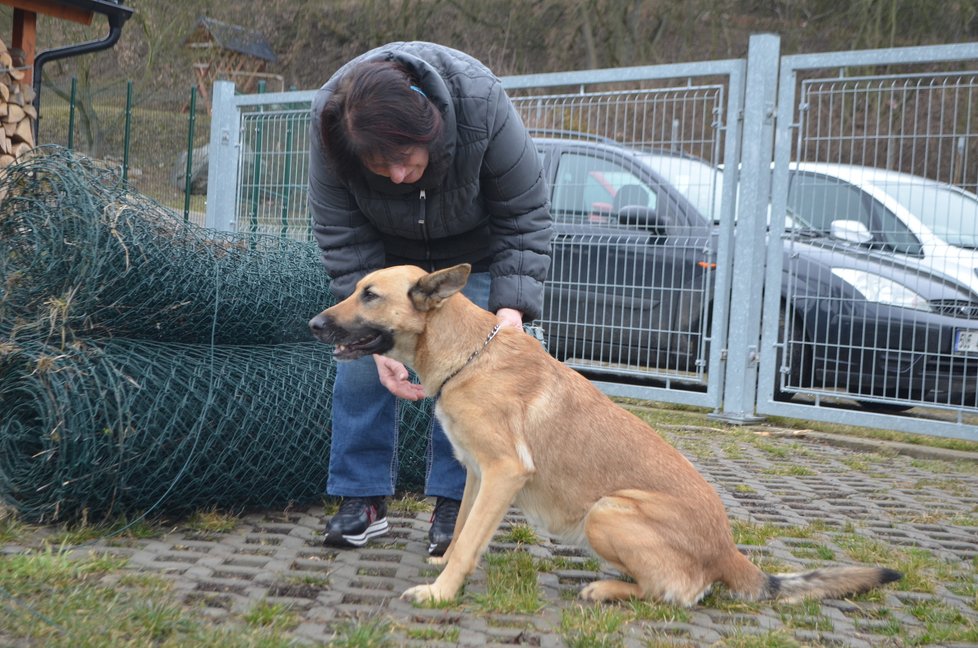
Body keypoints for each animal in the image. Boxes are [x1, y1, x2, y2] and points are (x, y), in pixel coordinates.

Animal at [308, 260, 896, 604]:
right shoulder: (477, 475)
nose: (313, 324)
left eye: (369, 295)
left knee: (676, 593)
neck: (468, 354)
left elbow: (470, 540)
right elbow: (463, 533)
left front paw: (440, 593)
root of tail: (728, 551)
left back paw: (605, 588)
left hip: (607, 512)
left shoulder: (503, 473)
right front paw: (446, 569)